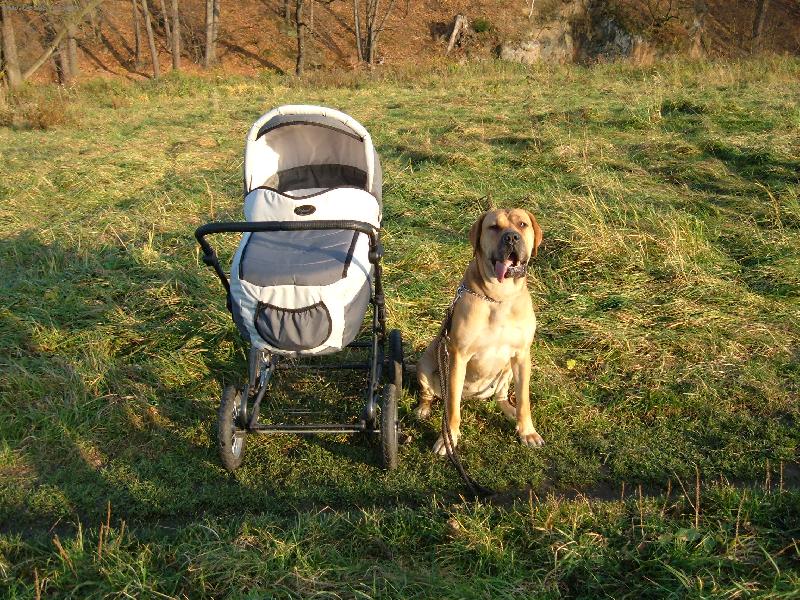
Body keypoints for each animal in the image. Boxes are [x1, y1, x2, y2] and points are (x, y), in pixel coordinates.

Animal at [415, 208, 543, 455]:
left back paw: (510, 410)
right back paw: (423, 409)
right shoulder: (458, 356)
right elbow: (452, 408)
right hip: (426, 364)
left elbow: (524, 400)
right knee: (430, 393)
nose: (512, 237)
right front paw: (448, 439)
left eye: (522, 224)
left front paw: (527, 431)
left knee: (501, 395)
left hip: (507, 370)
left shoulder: (522, 354)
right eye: (494, 227)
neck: (500, 297)